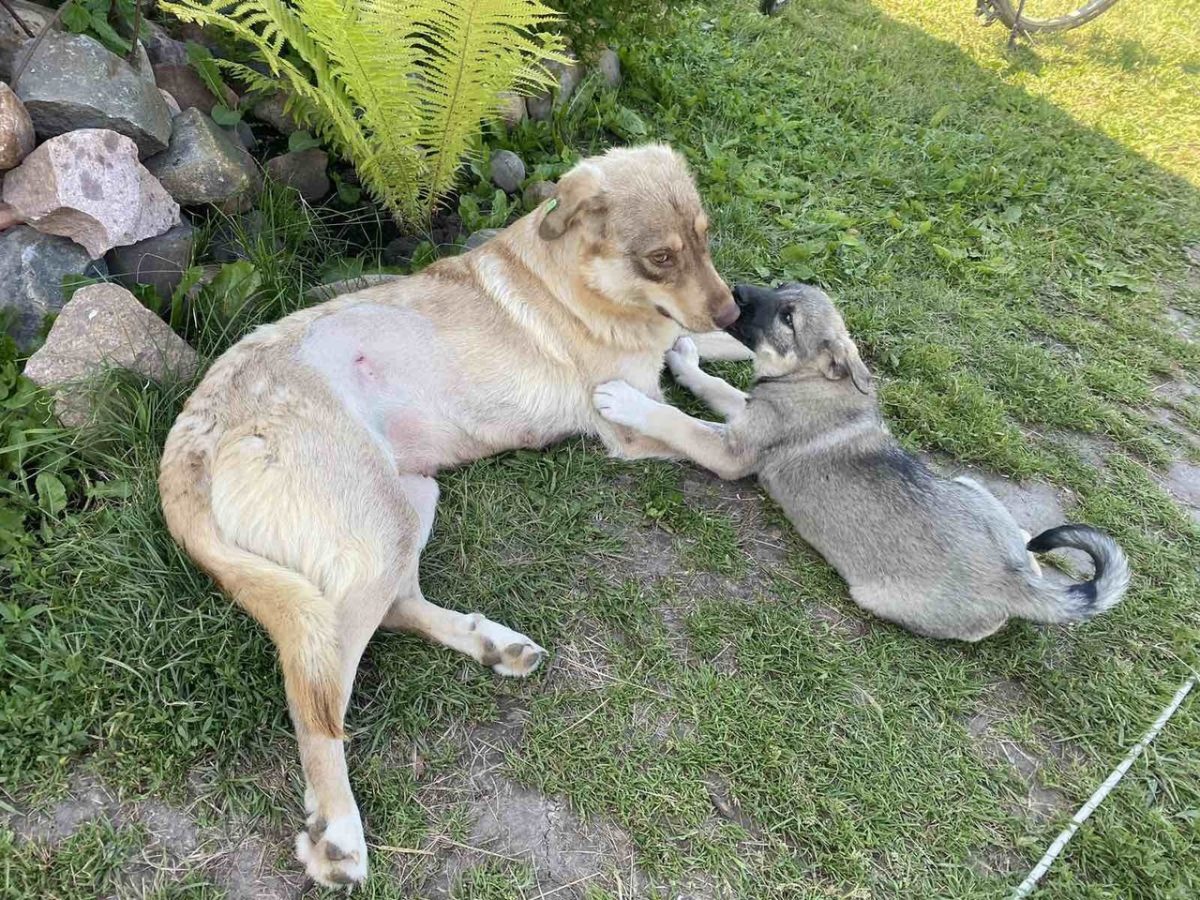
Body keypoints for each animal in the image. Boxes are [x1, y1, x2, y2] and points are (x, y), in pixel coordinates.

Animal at [157, 146, 739, 888]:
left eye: (705, 238)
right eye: (660, 257)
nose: (733, 309)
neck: (581, 282)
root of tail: (194, 427)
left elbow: (718, 358)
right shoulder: (632, 428)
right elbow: (711, 439)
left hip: (408, 505)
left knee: (394, 608)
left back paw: (494, 643)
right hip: (374, 532)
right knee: (317, 686)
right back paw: (337, 829)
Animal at [595, 282, 1128, 643]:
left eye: (788, 318)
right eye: (780, 289)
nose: (736, 290)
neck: (812, 381)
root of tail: (1016, 585)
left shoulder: (732, 452)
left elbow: (676, 420)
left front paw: (623, 398)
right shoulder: (748, 411)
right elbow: (715, 386)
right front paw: (683, 360)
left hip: (877, 596)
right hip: (968, 484)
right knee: (1024, 544)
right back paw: (1025, 544)